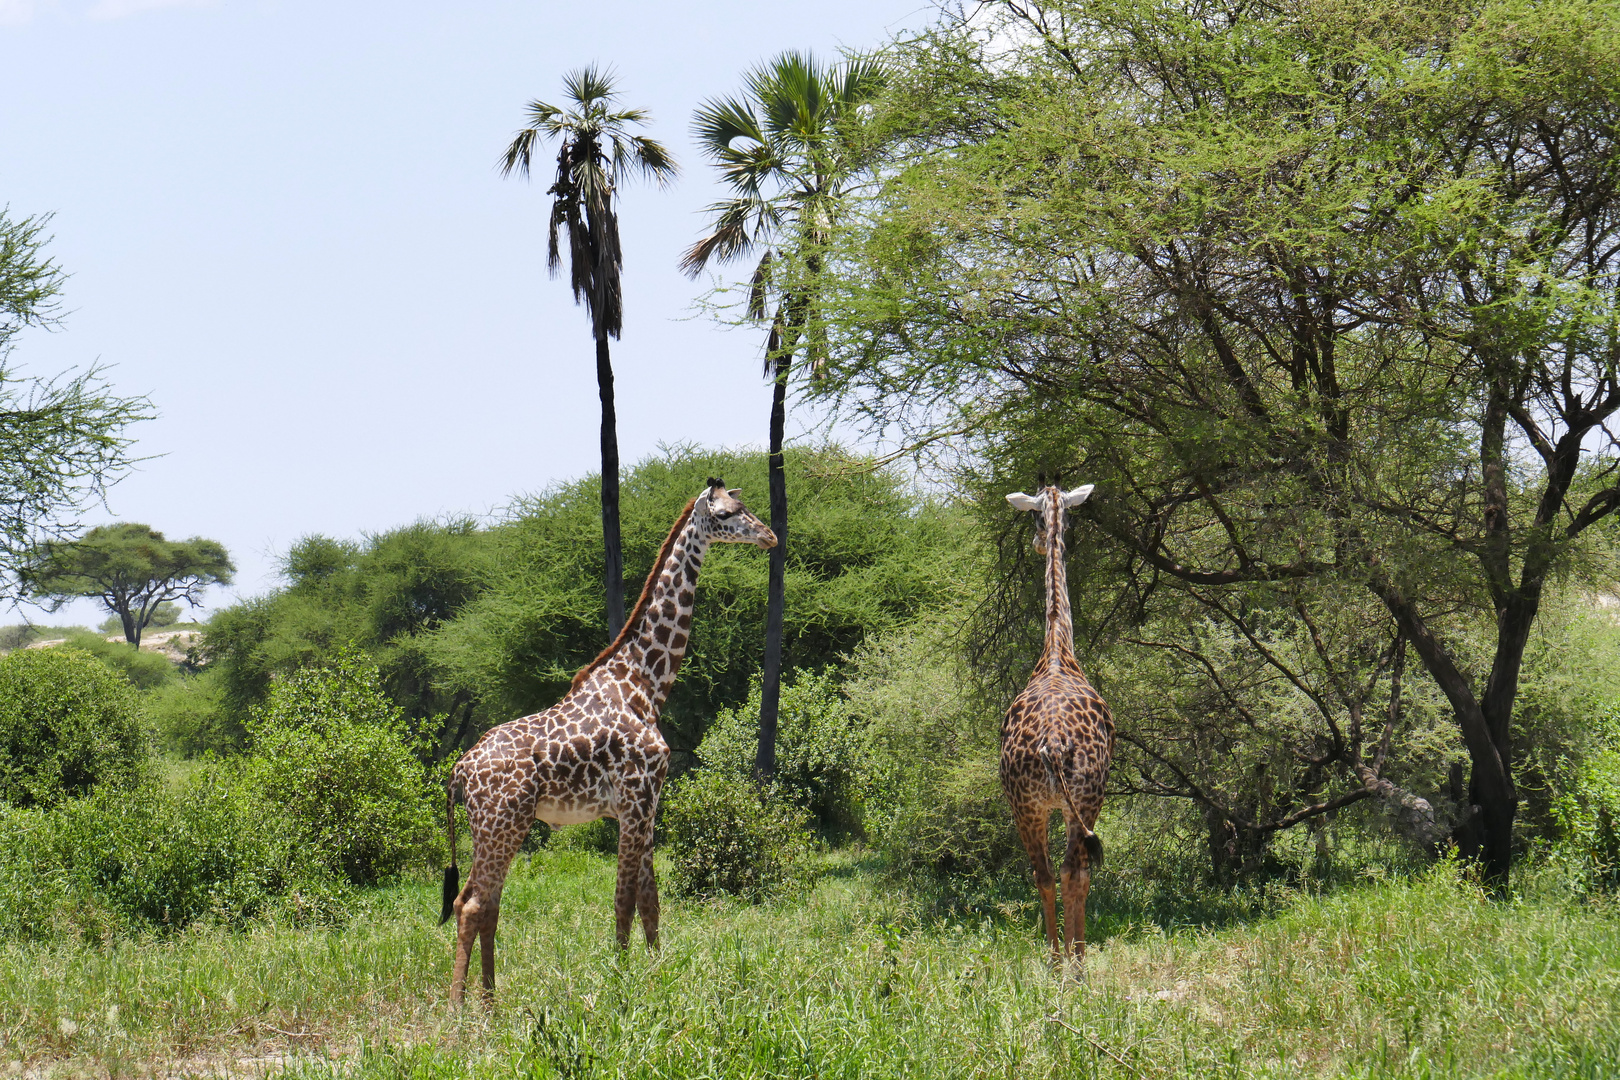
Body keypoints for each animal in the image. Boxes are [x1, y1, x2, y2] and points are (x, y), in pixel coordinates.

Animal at [440, 479, 774, 1003]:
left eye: (746, 507)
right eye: (725, 514)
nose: (770, 537)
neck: (645, 684)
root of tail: (458, 771)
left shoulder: (647, 803)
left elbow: (650, 900)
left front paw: (658, 977)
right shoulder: (635, 799)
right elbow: (623, 899)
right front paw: (621, 982)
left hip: (497, 828)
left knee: (483, 903)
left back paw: (491, 1002)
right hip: (501, 824)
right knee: (471, 903)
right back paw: (459, 1009)